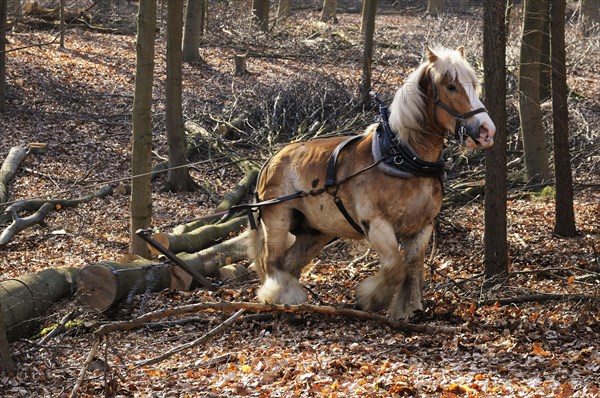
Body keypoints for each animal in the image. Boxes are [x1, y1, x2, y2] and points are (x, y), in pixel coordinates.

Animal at [248, 46, 496, 320]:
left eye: (475, 84)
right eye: (451, 86)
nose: (486, 131)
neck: (402, 158)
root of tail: (271, 160)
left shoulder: (422, 228)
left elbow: (412, 269)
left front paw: (407, 309)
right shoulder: (377, 225)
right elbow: (396, 268)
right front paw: (369, 299)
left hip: (316, 232)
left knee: (290, 263)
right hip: (277, 219)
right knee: (271, 262)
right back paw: (280, 295)